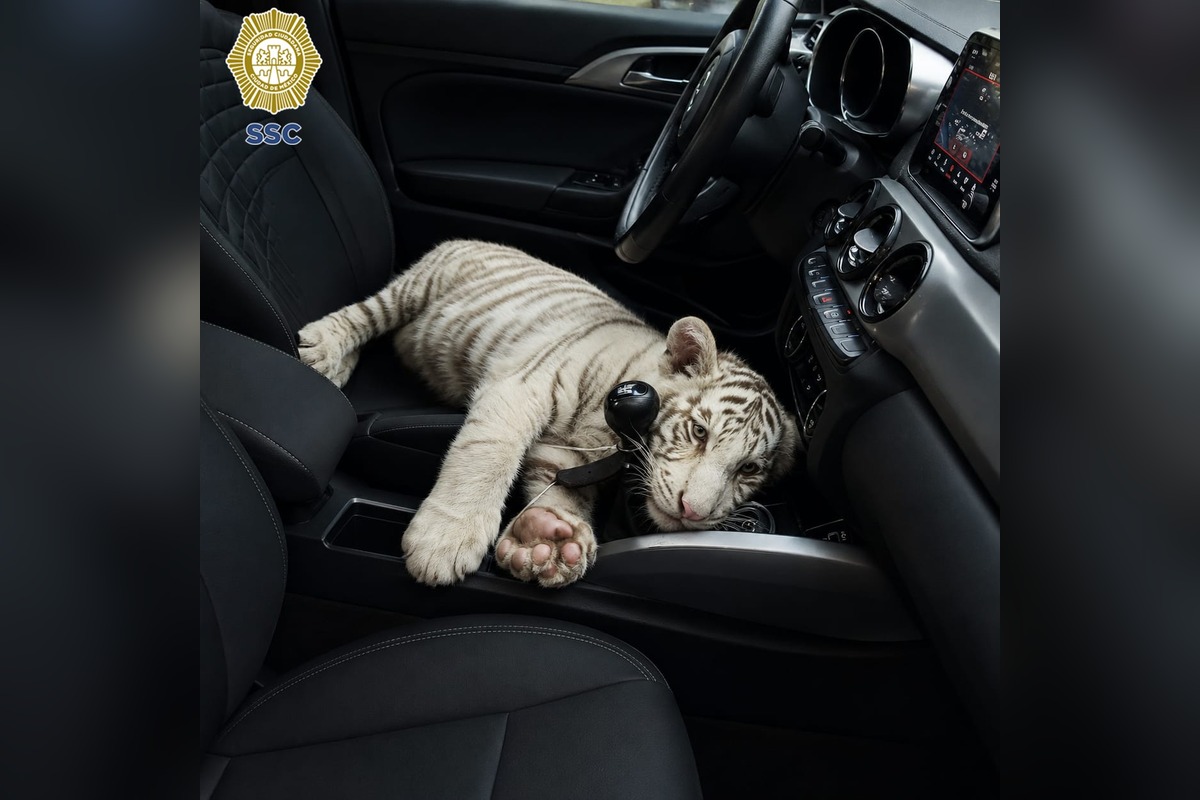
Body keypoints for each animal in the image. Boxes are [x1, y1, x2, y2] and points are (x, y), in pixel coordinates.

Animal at [298, 240, 799, 588]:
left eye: (748, 469)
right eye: (698, 431)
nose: (693, 512)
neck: (612, 433)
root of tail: (478, 239)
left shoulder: (567, 454)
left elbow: (561, 494)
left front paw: (549, 541)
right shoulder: (521, 388)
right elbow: (486, 456)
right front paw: (444, 541)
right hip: (417, 286)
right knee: (366, 314)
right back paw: (322, 349)